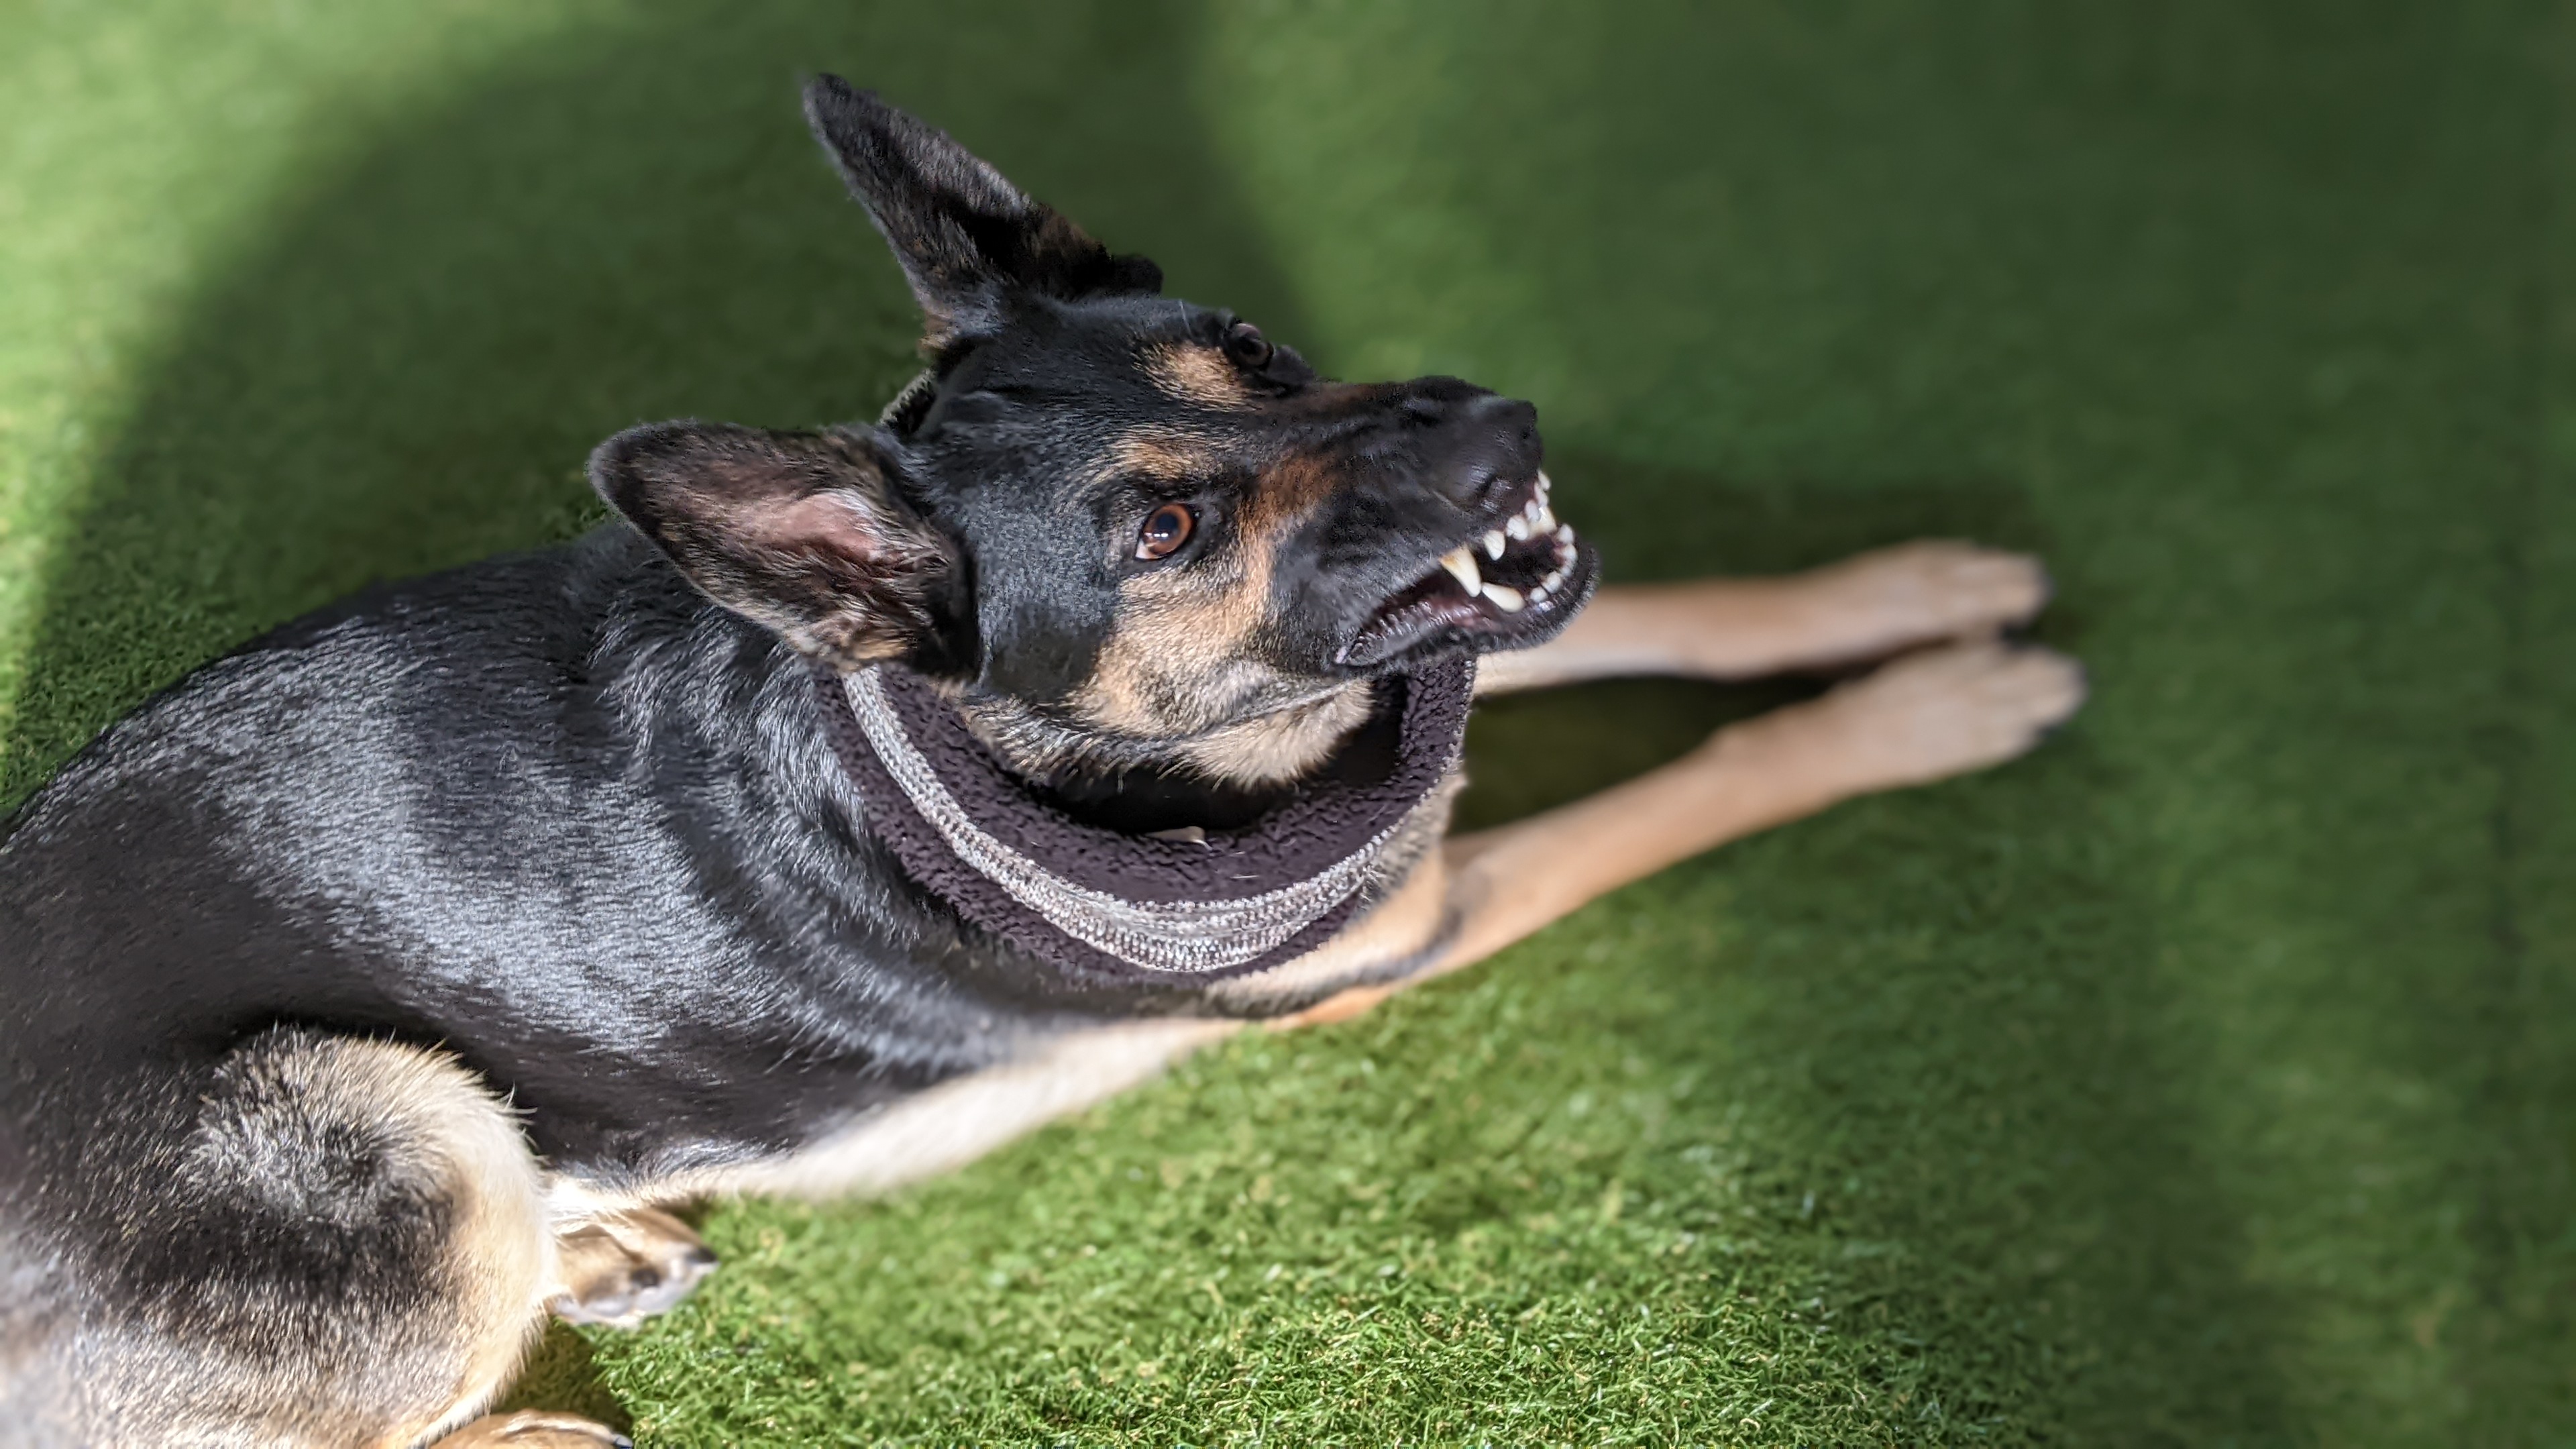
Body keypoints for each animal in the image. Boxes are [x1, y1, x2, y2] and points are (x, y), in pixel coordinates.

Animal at [0, 79, 2082, 1447]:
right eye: (1160, 532)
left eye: (1255, 350)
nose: (1504, 428)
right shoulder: (1412, 922)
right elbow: (1690, 786)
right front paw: (1939, 707)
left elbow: (1675, 614)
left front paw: (1906, 589)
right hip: (389, 1114)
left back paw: (593, 1246)